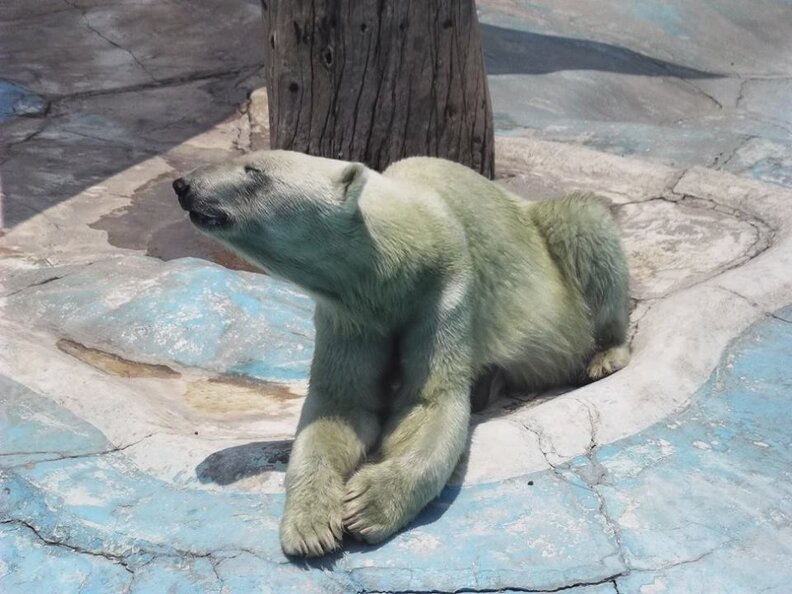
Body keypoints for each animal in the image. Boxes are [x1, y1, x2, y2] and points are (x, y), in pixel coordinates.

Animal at [172, 150, 630, 557]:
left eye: (254, 170)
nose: (184, 185)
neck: (394, 265)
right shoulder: (350, 315)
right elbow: (340, 406)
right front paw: (310, 526)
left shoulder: (446, 289)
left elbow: (430, 402)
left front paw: (367, 505)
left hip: (551, 242)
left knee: (585, 223)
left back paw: (605, 356)